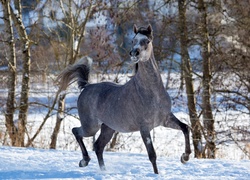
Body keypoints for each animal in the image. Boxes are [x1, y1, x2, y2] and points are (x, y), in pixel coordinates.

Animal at [57, 24, 190, 174]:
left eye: (147, 41)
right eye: (133, 40)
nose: (134, 53)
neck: (152, 93)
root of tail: (86, 86)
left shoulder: (166, 119)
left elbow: (185, 128)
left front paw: (185, 157)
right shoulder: (144, 128)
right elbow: (152, 155)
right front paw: (157, 174)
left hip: (108, 128)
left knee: (98, 146)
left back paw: (103, 170)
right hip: (91, 127)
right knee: (76, 131)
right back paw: (84, 161)